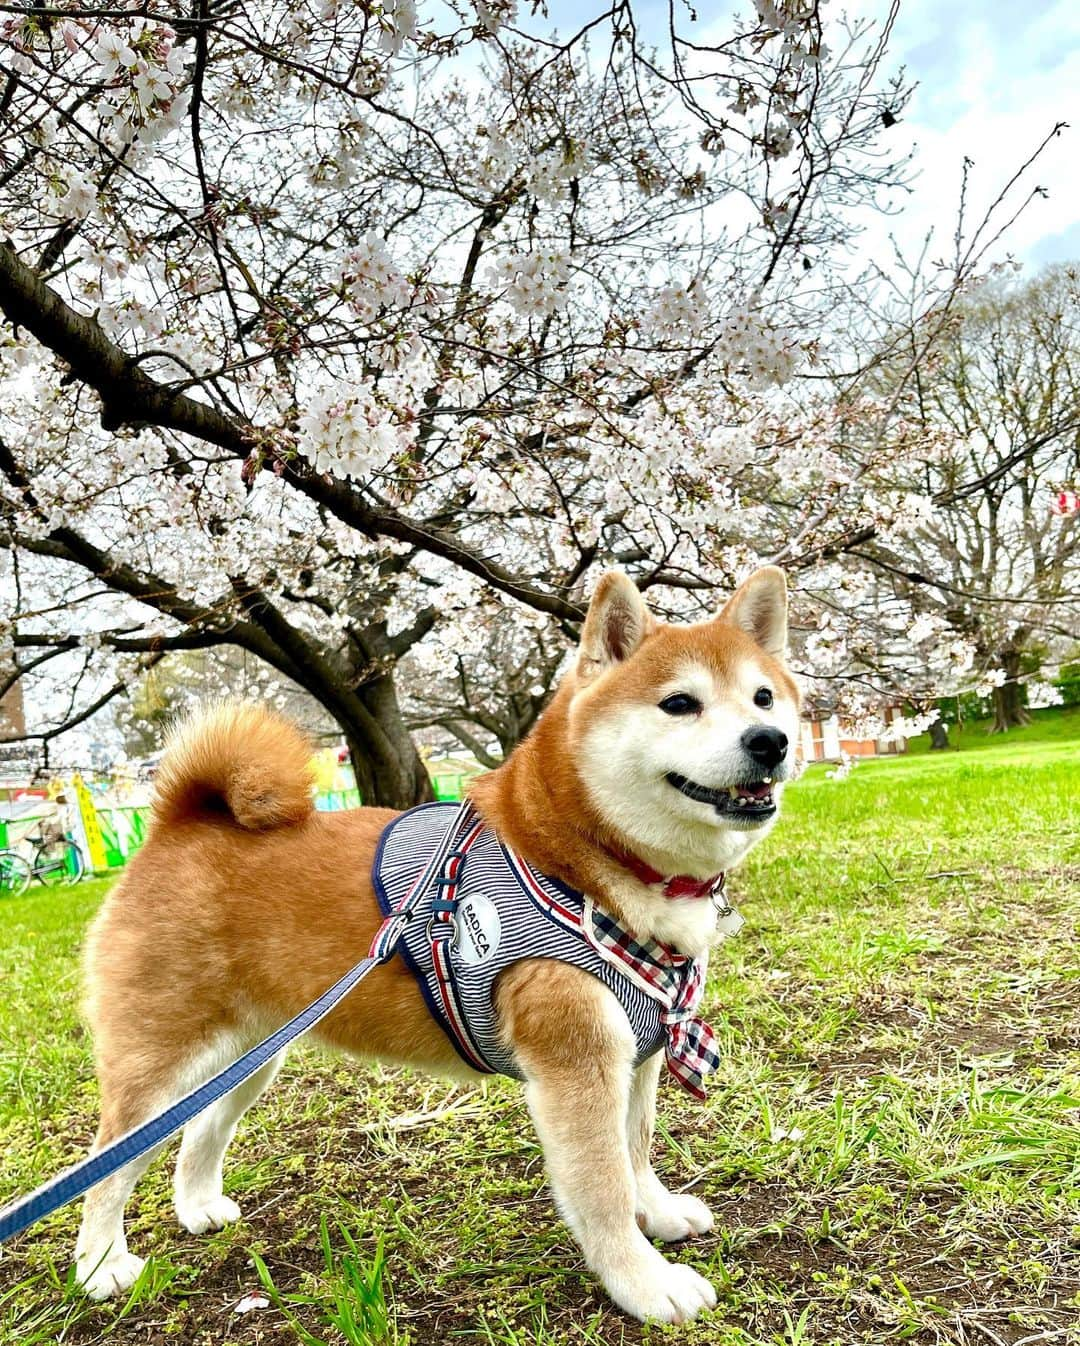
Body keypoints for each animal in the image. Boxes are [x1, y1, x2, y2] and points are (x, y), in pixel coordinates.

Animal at [73, 568, 797, 1324]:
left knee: (198, 1130)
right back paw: (101, 1265)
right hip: (164, 1058)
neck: (584, 864)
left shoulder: (640, 1049)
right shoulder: (578, 1064)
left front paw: (656, 1214)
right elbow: (603, 1187)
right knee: (108, 1163)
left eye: (764, 697)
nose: (770, 739)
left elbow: (636, 1153)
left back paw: (197, 1207)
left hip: (248, 1055)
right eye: (680, 703)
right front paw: (644, 1282)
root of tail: (179, 821)